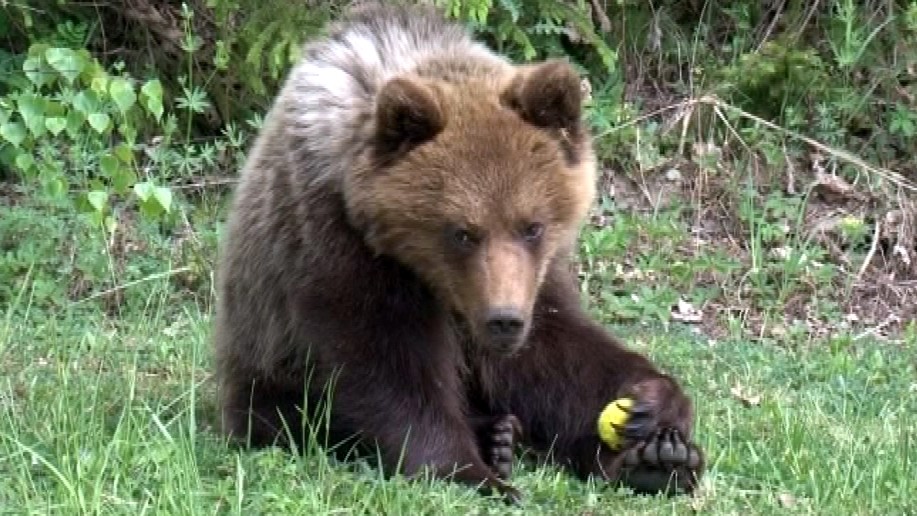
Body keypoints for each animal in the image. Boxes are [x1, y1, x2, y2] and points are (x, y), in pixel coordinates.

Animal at [213, 2, 700, 504]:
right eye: (462, 232)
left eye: (532, 226)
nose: (504, 320)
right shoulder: (338, 246)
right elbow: (386, 366)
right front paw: (473, 473)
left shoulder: (535, 275)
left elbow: (554, 346)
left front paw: (651, 401)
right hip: (267, 366)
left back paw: (657, 460)